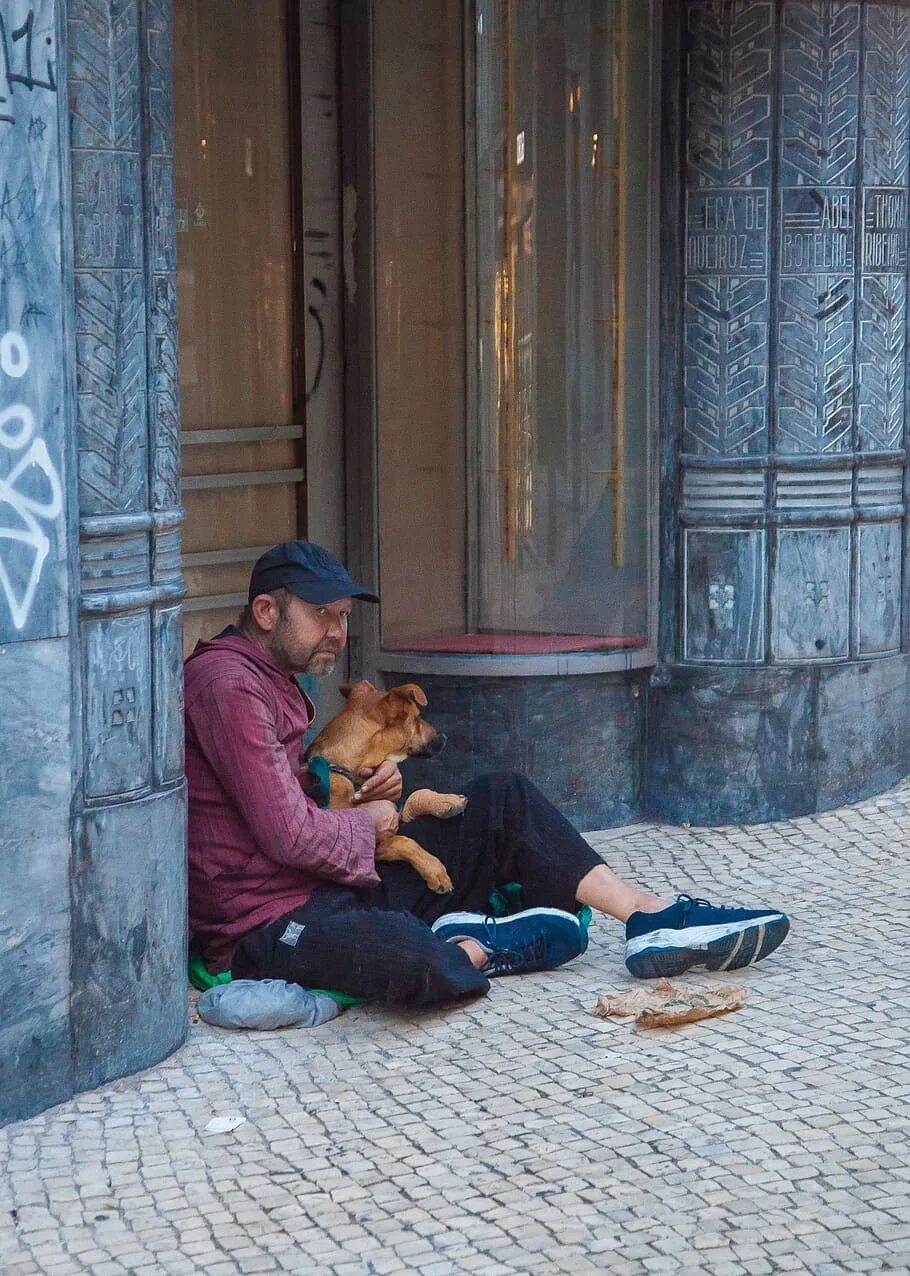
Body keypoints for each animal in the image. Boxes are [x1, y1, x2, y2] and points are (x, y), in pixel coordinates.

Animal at [301, 678, 464, 898]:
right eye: (417, 717)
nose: (445, 737)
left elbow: (413, 798)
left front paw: (448, 800)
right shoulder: (366, 852)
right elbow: (403, 841)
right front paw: (435, 871)